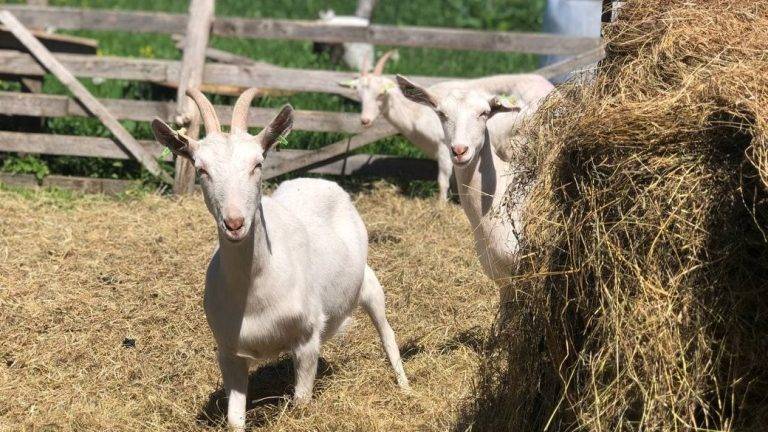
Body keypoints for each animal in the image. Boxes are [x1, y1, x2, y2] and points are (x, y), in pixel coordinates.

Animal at [152, 89, 412, 430]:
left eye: (257, 163)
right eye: (201, 169)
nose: (234, 223)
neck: (256, 291)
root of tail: (319, 180)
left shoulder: (307, 338)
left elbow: (301, 403)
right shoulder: (229, 352)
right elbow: (234, 419)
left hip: (368, 283)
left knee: (387, 332)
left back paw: (405, 387)